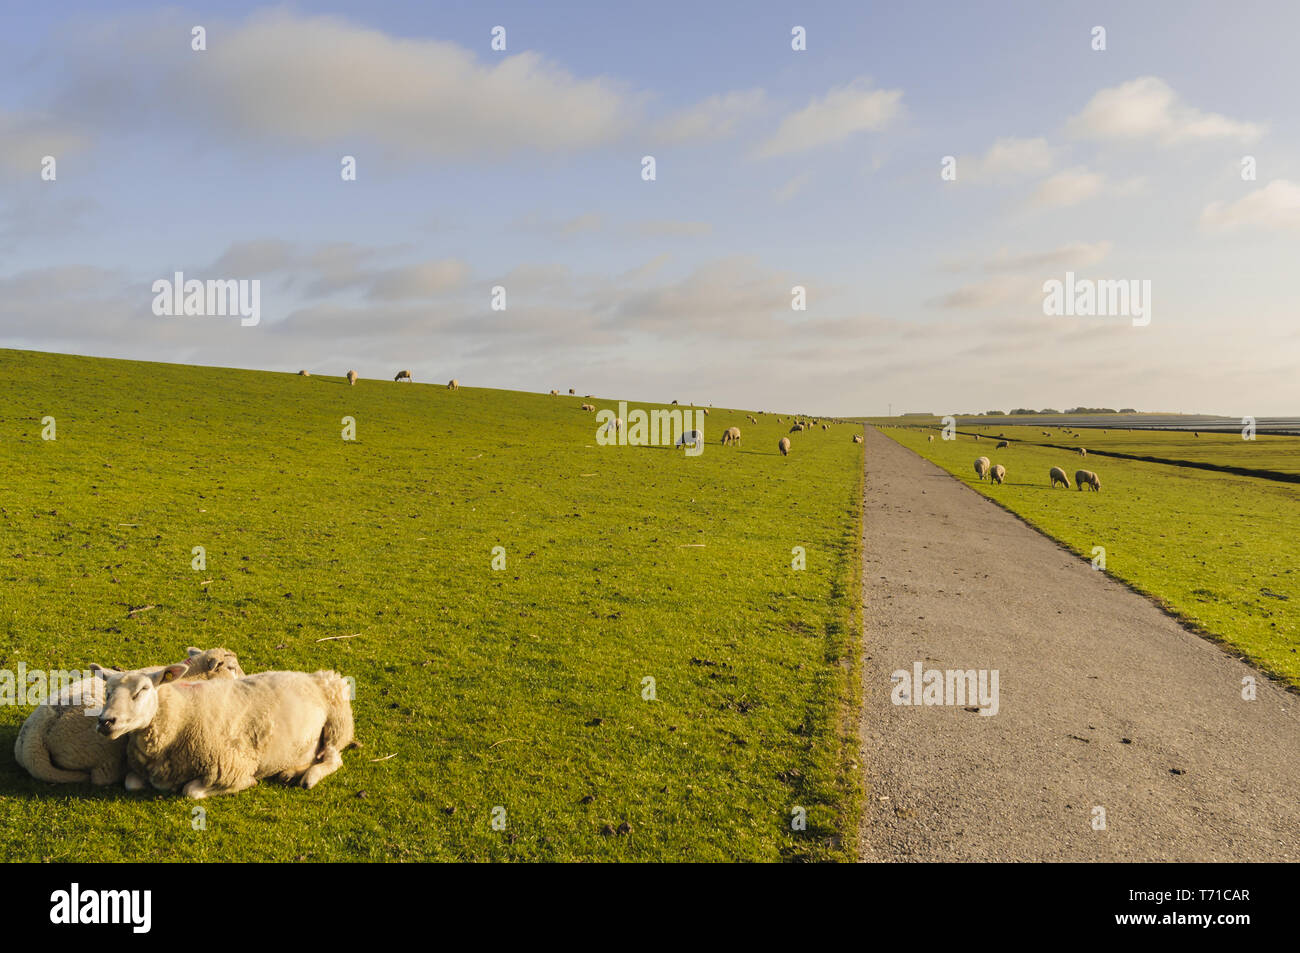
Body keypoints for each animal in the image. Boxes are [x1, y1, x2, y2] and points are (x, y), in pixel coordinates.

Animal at [100, 665, 356, 800]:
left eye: (142, 690)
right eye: (107, 692)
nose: (105, 721)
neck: (182, 712)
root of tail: (311, 675)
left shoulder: (231, 766)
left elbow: (191, 791)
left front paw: (249, 782)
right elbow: (131, 783)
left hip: (338, 724)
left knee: (333, 758)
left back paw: (309, 777)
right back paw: (290, 771)